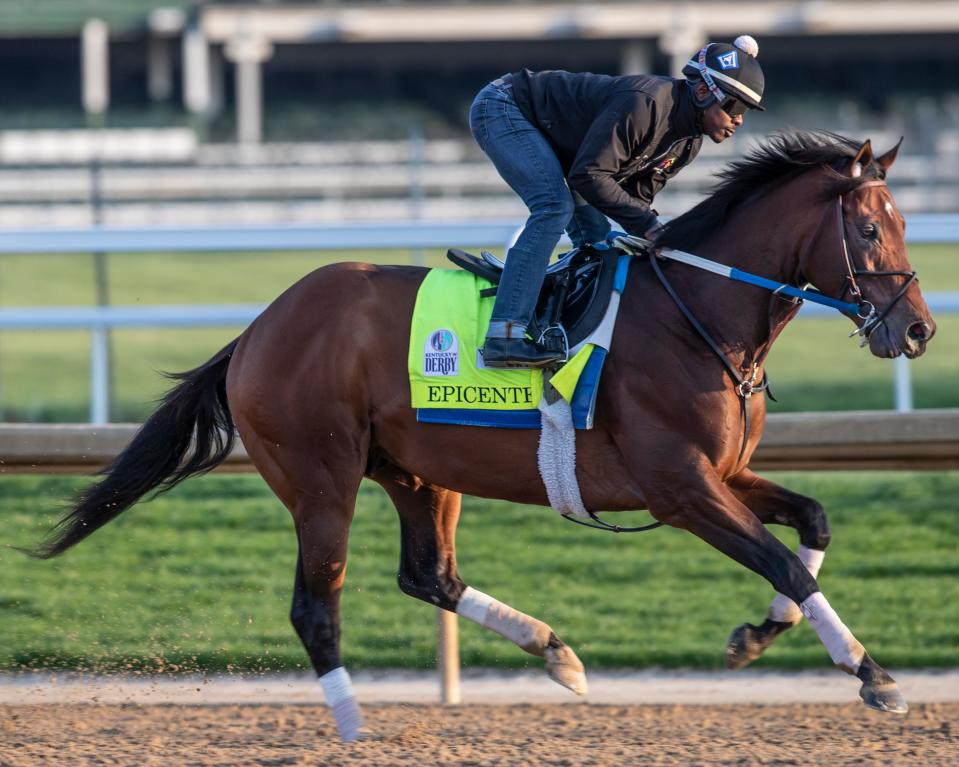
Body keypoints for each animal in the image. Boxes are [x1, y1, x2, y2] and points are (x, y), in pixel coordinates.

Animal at [31, 130, 936, 736]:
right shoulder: (678, 487)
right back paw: (355, 724)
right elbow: (782, 556)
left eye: (902, 223)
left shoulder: (723, 472)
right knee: (315, 606)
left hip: (416, 471)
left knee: (428, 574)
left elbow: (813, 521)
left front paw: (757, 633)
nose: (919, 328)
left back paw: (555, 651)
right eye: (868, 229)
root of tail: (255, 329)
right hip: (320, 477)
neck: (695, 317)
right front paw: (872, 673)